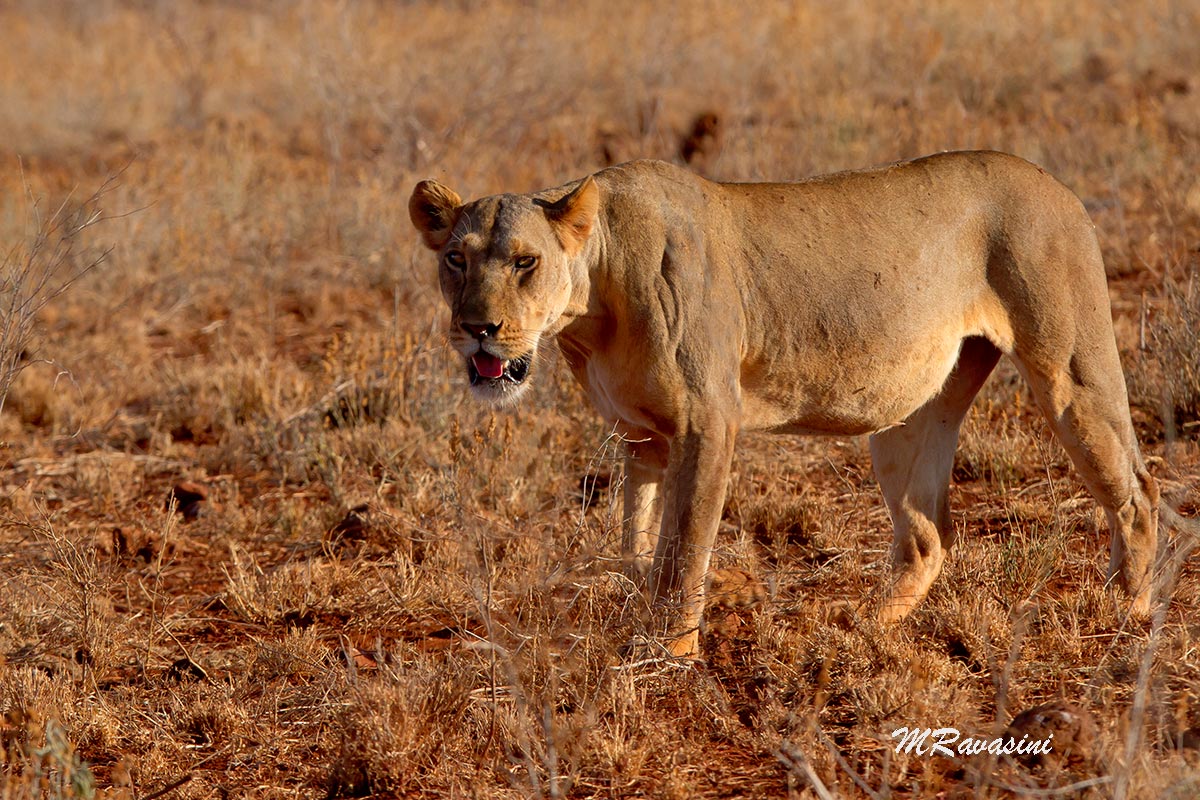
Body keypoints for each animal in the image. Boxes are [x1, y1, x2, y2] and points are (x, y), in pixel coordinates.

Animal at [409, 151, 1173, 659]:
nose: (477, 327)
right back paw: (862, 627)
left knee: (1138, 490)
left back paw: (1126, 614)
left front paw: (670, 655)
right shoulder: (643, 436)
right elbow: (636, 542)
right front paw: (637, 616)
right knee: (928, 535)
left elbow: (683, 550)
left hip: (1070, 371)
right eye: (456, 259)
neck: (593, 303)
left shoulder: (707, 422)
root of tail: (1053, 181)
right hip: (910, 418)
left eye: (524, 262)